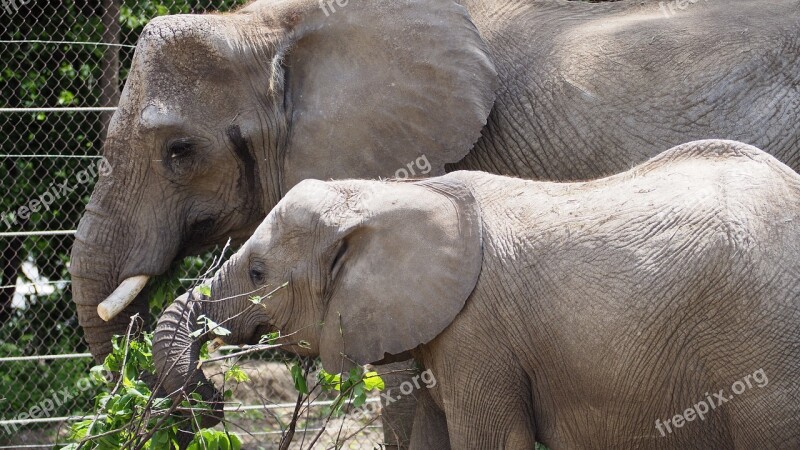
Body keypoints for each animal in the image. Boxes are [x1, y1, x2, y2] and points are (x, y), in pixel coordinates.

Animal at [155, 140, 800, 446]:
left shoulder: (480, 336)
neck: (399, 194)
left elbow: (492, 440)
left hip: (764, 356)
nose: (211, 403)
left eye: (258, 273)